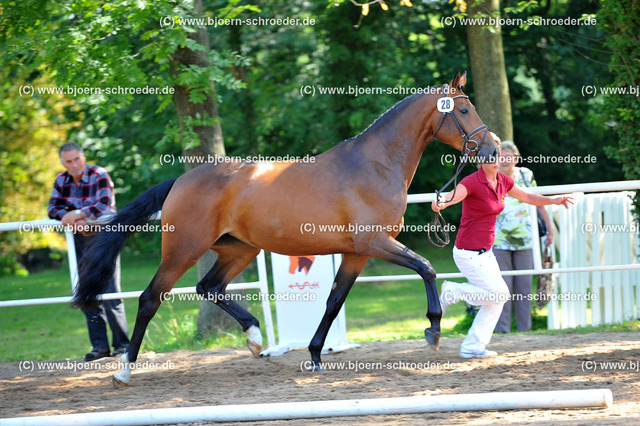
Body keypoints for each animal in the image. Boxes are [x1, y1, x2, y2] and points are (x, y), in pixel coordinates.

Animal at [72, 70, 498, 386]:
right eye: (463, 109)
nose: (492, 149)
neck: (375, 165)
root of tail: (180, 180)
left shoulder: (356, 254)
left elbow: (333, 302)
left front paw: (315, 355)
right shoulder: (374, 243)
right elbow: (426, 267)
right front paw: (433, 330)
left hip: (239, 249)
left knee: (209, 287)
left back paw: (255, 338)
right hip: (183, 250)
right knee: (150, 298)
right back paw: (124, 371)